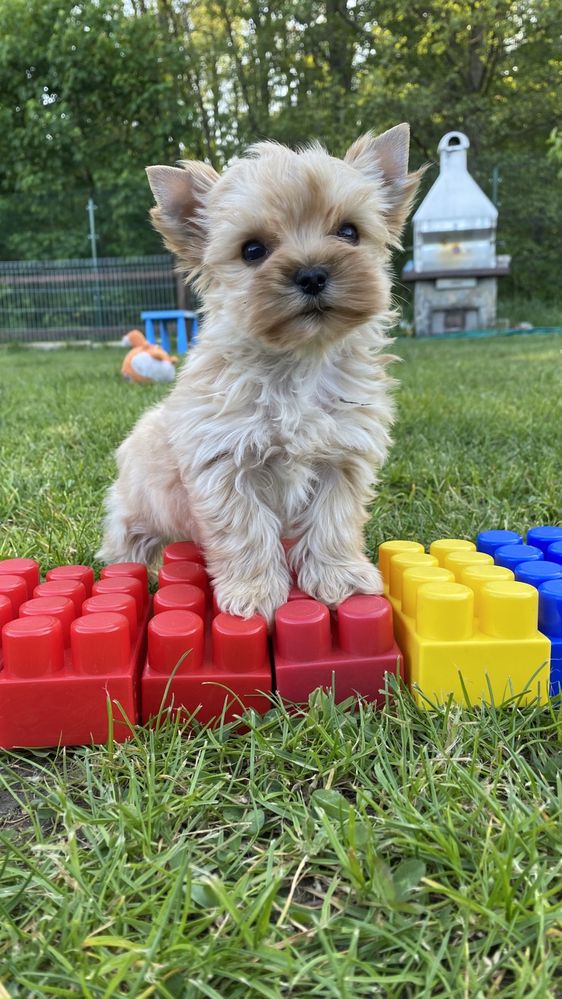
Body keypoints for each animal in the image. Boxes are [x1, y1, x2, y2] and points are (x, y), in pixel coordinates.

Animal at [97, 128, 420, 620]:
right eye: (252, 250)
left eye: (349, 232)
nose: (312, 274)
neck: (297, 363)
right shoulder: (225, 463)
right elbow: (246, 530)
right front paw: (254, 592)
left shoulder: (343, 457)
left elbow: (333, 521)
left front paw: (339, 578)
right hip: (139, 508)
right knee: (126, 535)